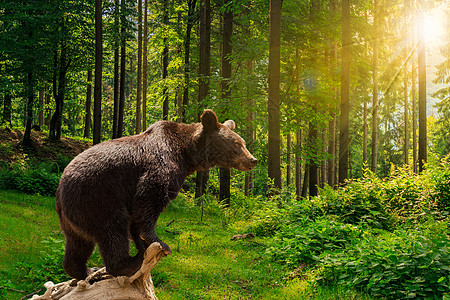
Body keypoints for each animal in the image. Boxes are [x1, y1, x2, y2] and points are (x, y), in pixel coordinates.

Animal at [55, 109, 256, 280]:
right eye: (237, 143)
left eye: (244, 143)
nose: (252, 160)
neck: (187, 153)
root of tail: (61, 186)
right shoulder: (160, 163)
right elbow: (149, 198)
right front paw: (158, 242)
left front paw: (144, 243)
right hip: (97, 197)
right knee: (112, 228)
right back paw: (128, 262)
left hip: (72, 218)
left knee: (78, 243)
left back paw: (86, 270)